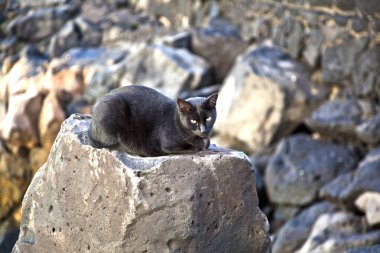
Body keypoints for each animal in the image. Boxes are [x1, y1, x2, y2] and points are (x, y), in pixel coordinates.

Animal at [87, 85, 217, 156]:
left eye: (208, 118)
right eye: (193, 121)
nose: (203, 130)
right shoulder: (168, 146)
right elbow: (196, 147)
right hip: (114, 106)